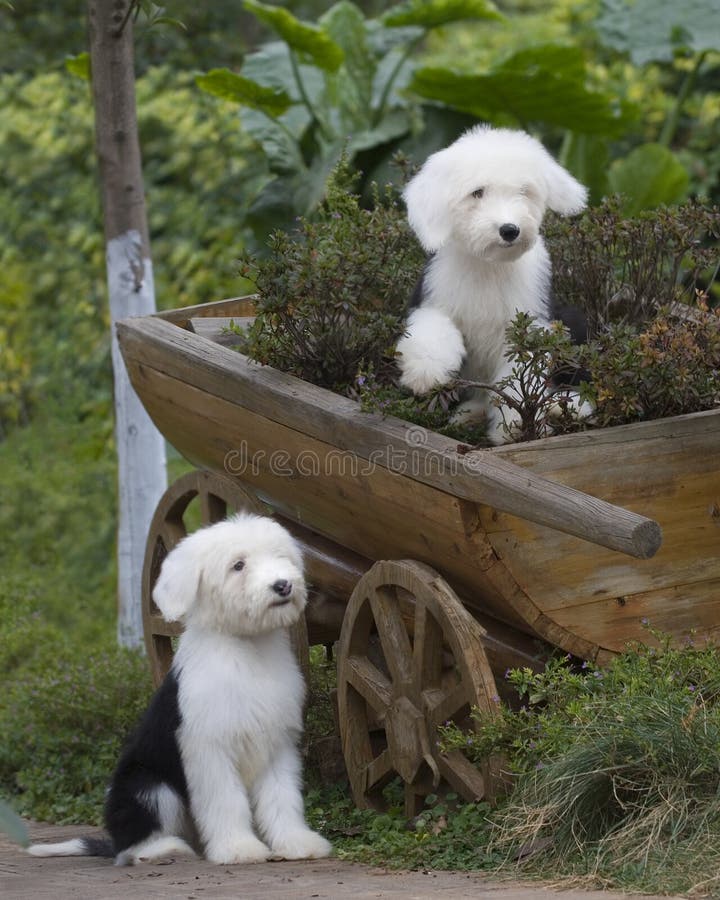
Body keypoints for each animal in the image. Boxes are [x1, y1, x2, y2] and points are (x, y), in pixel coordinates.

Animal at [26, 512, 330, 864]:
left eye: (281, 556)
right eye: (238, 565)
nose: (283, 585)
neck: (248, 649)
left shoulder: (277, 743)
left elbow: (282, 798)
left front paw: (298, 842)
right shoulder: (209, 746)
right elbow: (226, 800)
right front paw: (238, 848)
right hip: (147, 786)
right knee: (132, 846)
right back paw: (163, 849)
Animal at [396, 125, 588, 442]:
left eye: (524, 191)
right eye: (477, 192)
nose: (509, 230)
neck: (489, 266)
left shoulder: (527, 327)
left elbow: (519, 380)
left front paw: (515, 427)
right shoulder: (432, 297)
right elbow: (433, 329)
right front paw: (425, 373)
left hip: (573, 325)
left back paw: (565, 408)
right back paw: (468, 415)